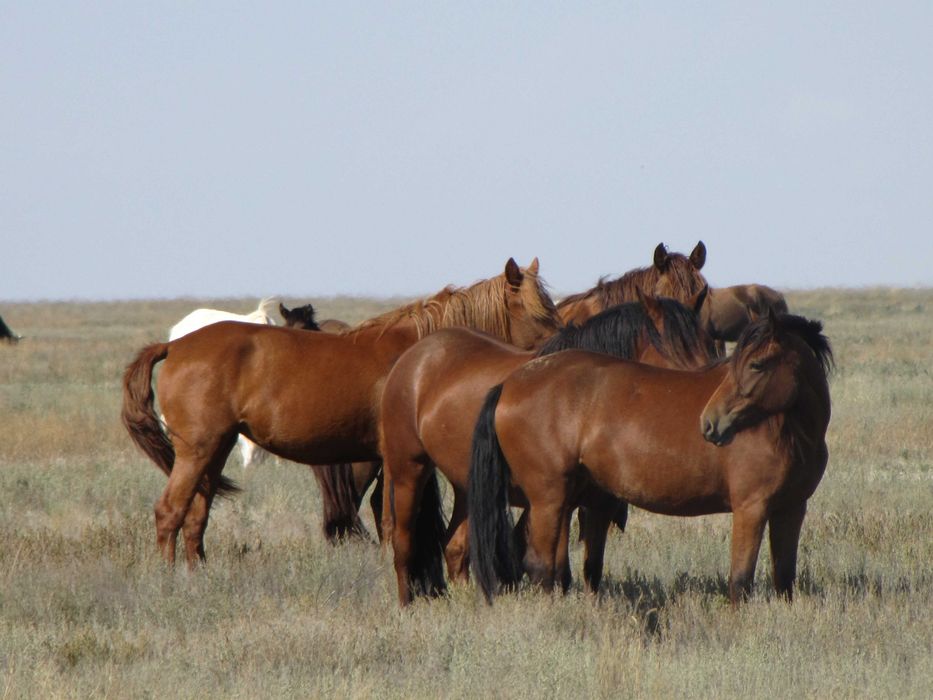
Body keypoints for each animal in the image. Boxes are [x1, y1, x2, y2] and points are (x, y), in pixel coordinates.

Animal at [380, 288, 718, 605]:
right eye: (675, 358)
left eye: (708, 350)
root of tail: (415, 355)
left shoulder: (574, 502)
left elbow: (575, 568)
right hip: (408, 472)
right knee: (403, 544)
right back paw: (406, 605)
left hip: (466, 486)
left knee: (455, 547)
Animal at [469, 311, 832, 606]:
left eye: (756, 364)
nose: (709, 423)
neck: (788, 432)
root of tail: (510, 383)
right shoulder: (750, 509)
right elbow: (740, 582)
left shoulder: (791, 508)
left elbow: (784, 578)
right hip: (548, 499)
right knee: (541, 567)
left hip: (567, 500)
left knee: (560, 569)